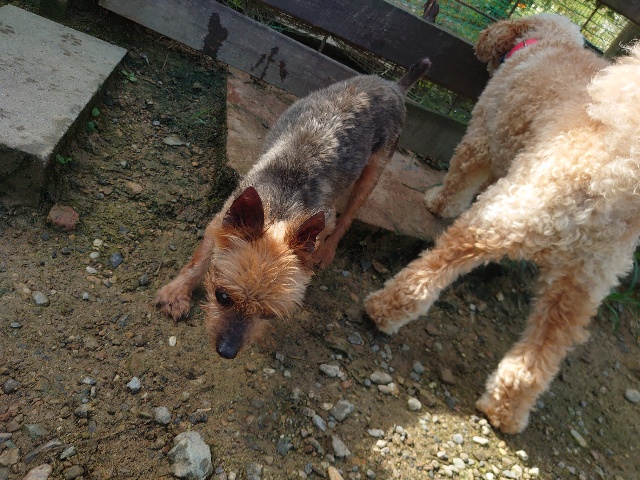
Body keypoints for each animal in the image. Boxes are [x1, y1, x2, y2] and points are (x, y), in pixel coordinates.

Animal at [156, 58, 431, 359]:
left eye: (268, 315)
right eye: (222, 296)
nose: (227, 351)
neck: (280, 209)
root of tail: (395, 85)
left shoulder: (322, 220)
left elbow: (328, 228)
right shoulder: (223, 217)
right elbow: (200, 258)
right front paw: (177, 293)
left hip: (376, 168)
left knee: (348, 215)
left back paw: (327, 251)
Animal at [365, 14, 640, 433]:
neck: (545, 44)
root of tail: (618, 180)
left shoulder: (483, 135)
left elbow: (460, 177)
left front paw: (438, 201)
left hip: (502, 215)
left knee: (431, 272)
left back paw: (383, 310)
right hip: (583, 283)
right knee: (539, 357)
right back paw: (505, 409)